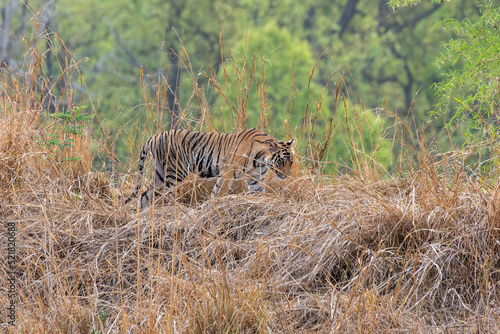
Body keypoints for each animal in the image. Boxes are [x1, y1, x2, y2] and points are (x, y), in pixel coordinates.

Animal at [125, 128, 294, 209]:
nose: (286, 176)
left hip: (160, 173)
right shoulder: (227, 172)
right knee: (154, 194)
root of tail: (154, 137)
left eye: (291, 162)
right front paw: (214, 207)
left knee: (145, 195)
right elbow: (219, 192)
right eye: (281, 161)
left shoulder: (256, 179)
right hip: (174, 172)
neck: (261, 160)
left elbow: (258, 193)